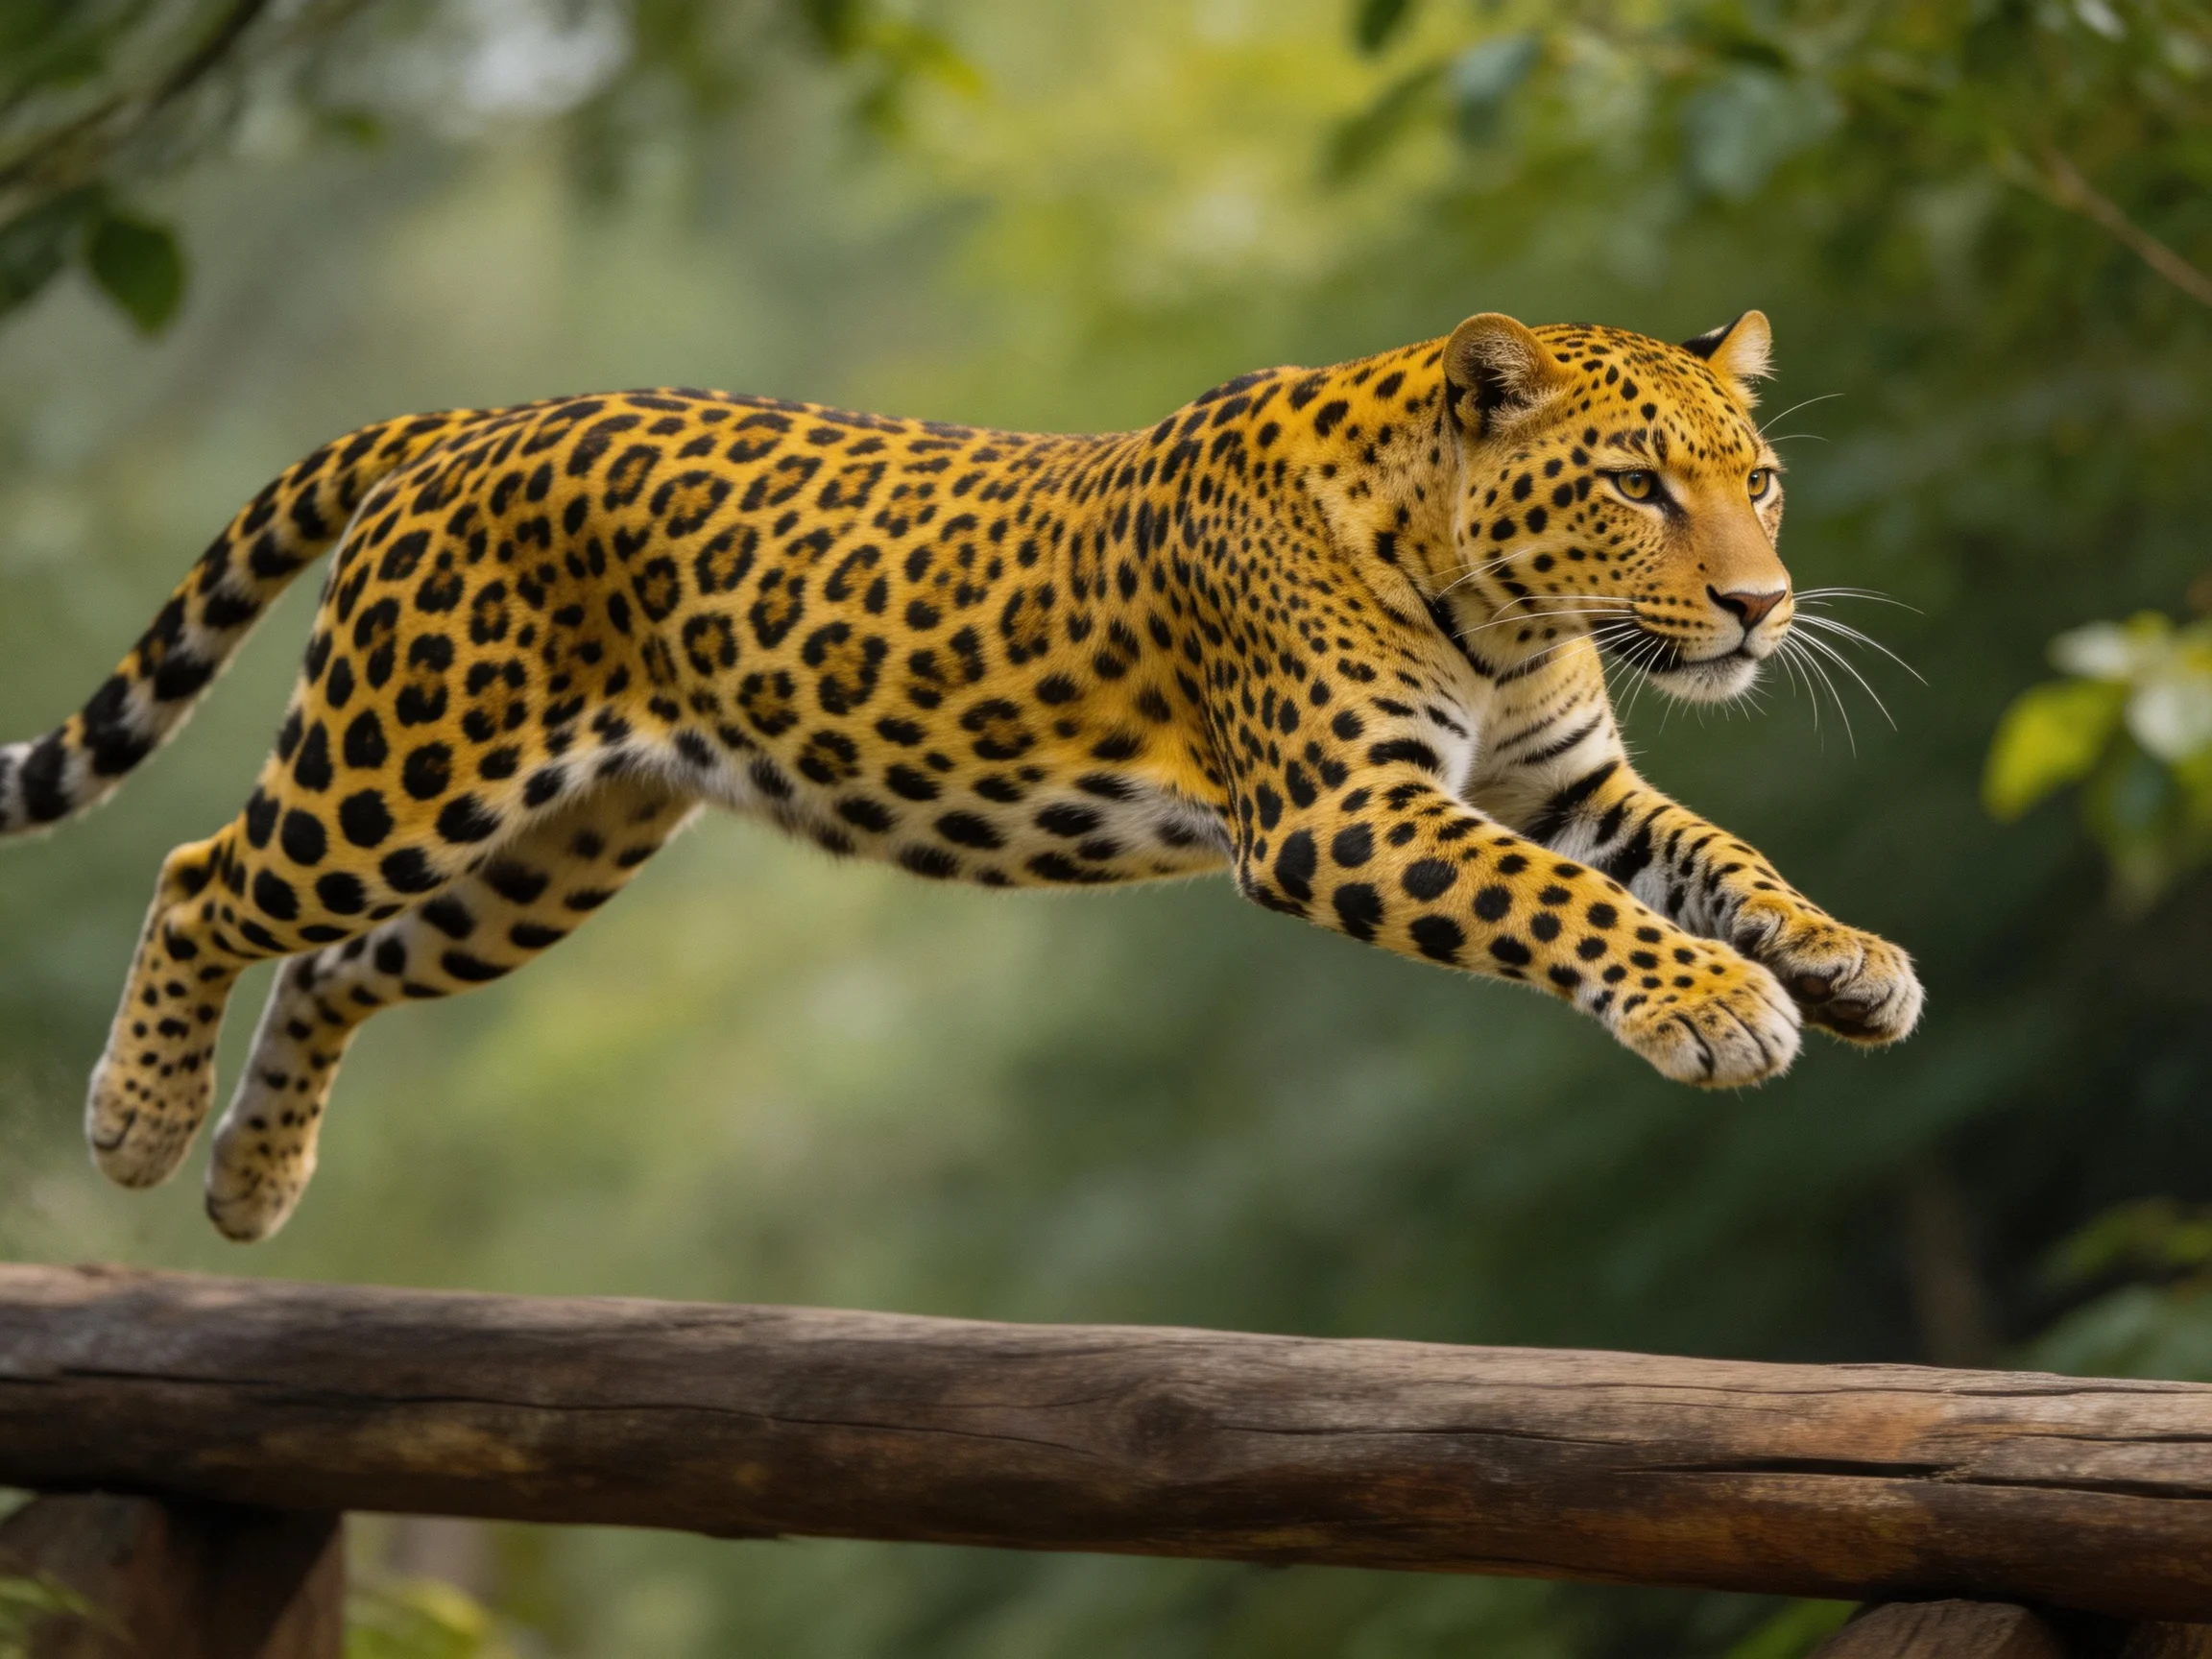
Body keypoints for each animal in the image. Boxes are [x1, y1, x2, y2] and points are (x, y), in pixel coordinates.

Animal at [0, 309, 1921, 1243]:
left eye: (1754, 477)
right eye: (1632, 484)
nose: (1762, 606)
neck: (1504, 611)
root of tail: (468, 421)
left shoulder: (1557, 777)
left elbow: (1711, 856)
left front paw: (1838, 961)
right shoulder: (1337, 812)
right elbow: (1560, 905)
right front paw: (1712, 1006)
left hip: (547, 852)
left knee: (334, 965)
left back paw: (252, 1178)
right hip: (401, 767)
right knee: (204, 880)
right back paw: (139, 1123)